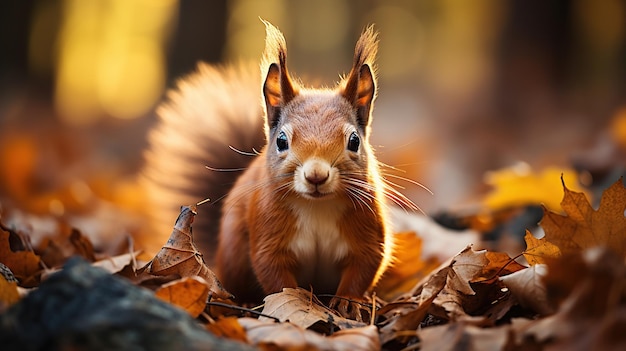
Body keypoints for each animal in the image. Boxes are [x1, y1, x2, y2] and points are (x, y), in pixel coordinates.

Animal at [141, 21, 402, 320]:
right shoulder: (268, 230)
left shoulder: (367, 231)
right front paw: (296, 301)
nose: (316, 176)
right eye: (281, 141)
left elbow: (365, 265)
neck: (318, 207)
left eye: (354, 141)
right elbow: (274, 274)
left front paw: (348, 302)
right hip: (235, 254)